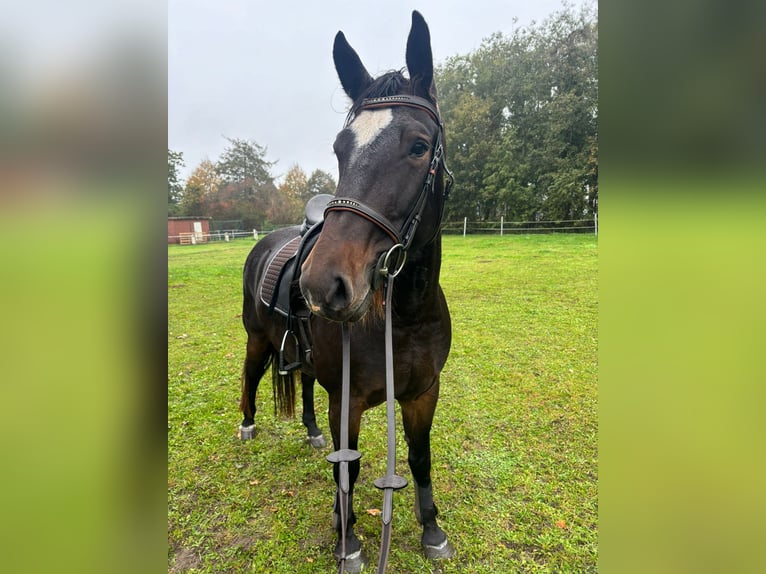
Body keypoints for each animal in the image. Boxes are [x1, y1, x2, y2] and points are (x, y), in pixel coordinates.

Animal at [238, 11, 456, 572]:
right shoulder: (349, 400)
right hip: (257, 339)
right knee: (251, 374)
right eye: (340, 149)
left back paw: (311, 431)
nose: (321, 284)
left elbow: (420, 457)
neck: (403, 318)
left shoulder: (423, 392)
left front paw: (432, 530)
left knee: (304, 385)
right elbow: (349, 470)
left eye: (418, 146)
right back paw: (246, 425)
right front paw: (348, 540)